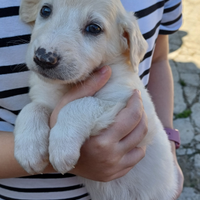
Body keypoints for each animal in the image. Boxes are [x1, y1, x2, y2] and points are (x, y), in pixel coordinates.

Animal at [14, 0, 178, 199]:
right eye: (45, 10)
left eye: (94, 28)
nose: (43, 58)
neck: (69, 86)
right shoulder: (44, 97)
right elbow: (31, 108)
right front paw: (29, 149)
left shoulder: (128, 105)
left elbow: (78, 104)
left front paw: (62, 146)